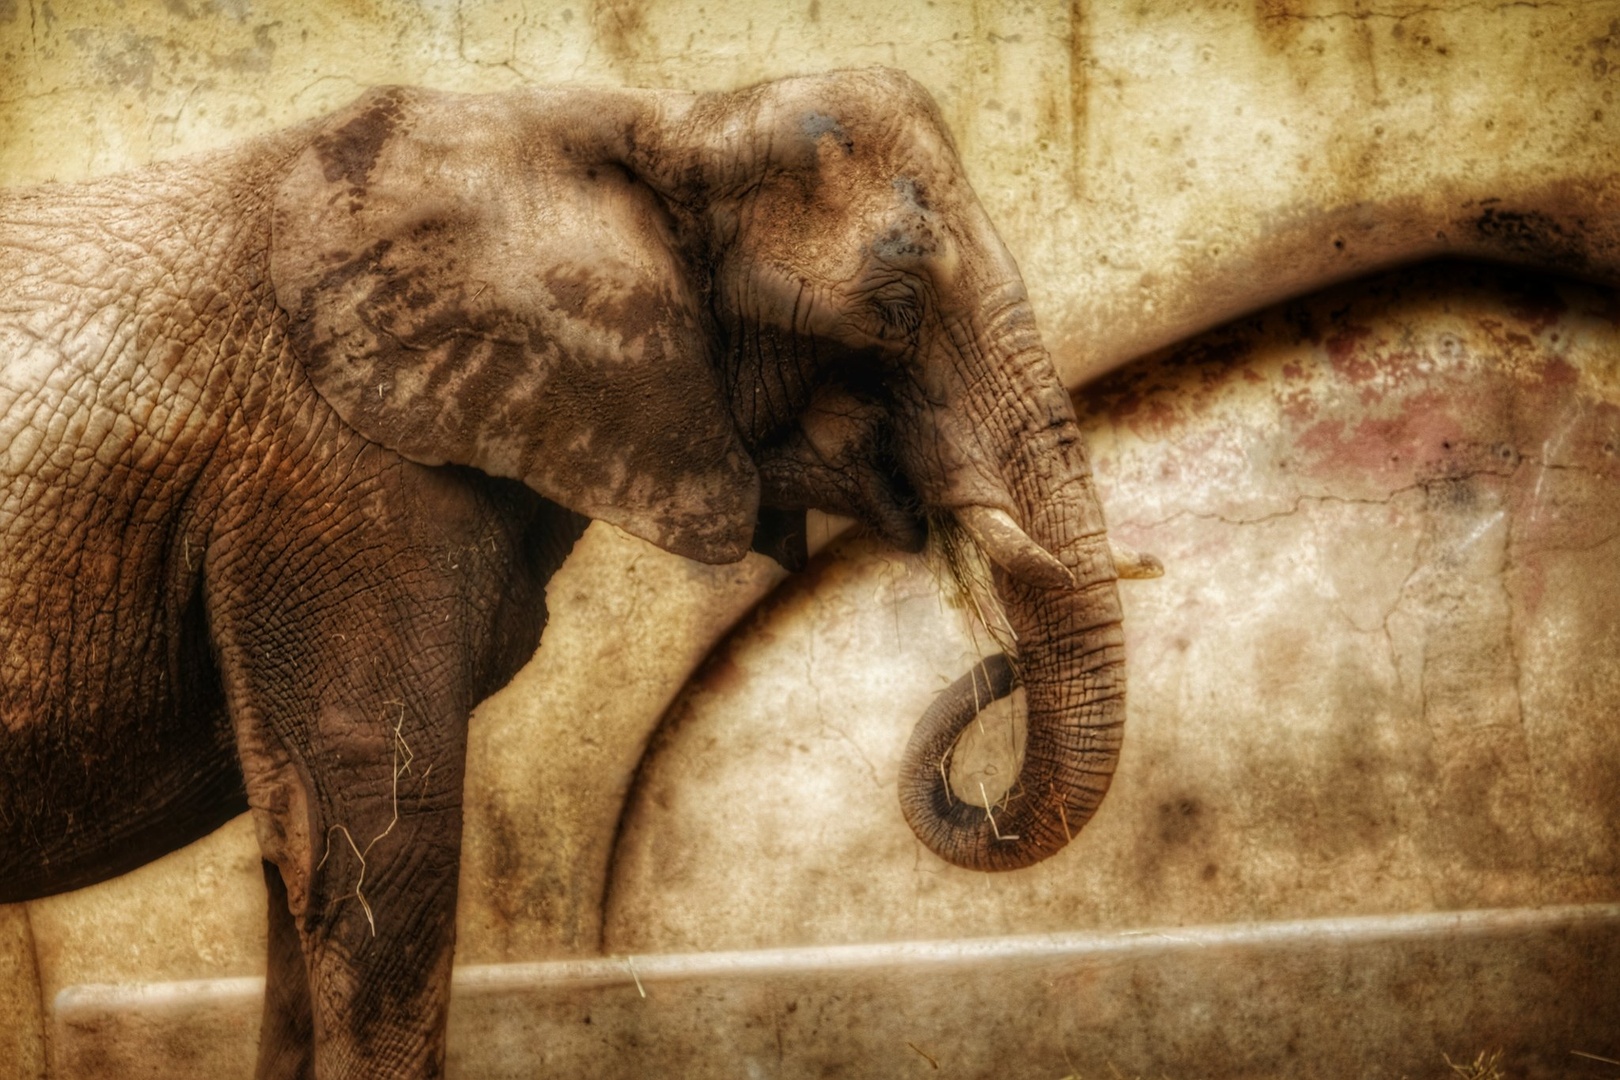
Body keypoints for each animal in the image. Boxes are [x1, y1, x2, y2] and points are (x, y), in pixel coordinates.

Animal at [0, 68, 1152, 1076]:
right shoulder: (330, 464)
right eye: (901, 301)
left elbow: (305, 867)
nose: (997, 657)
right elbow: (378, 849)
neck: (666, 116)